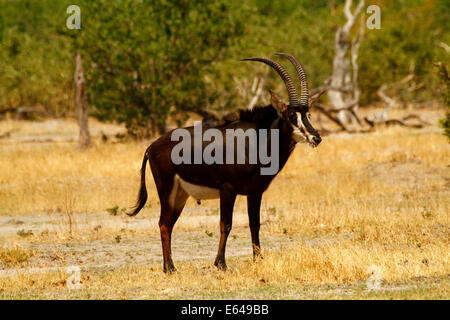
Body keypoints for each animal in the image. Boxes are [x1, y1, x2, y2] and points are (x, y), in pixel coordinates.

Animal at [127, 52, 320, 272]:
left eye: (308, 114)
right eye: (291, 115)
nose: (316, 138)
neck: (258, 140)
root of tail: (151, 147)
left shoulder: (255, 192)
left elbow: (255, 224)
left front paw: (258, 259)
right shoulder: (228, 189)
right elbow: (225, 224)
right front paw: (221, 264)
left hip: (180, 195)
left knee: (168, 224)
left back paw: (170, 267)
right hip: (166, 190)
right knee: (163, 223)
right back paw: (170, 268)